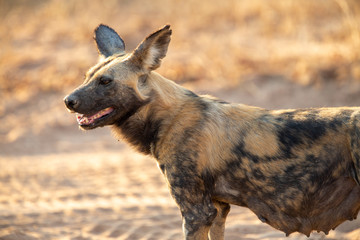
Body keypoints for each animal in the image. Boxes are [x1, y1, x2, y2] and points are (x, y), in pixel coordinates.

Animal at [64, 25, 360, 239]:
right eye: (86, 77)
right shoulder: (217, 209)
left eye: (105, 82)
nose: (68, 101)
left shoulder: (196, 213)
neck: (165, 117)